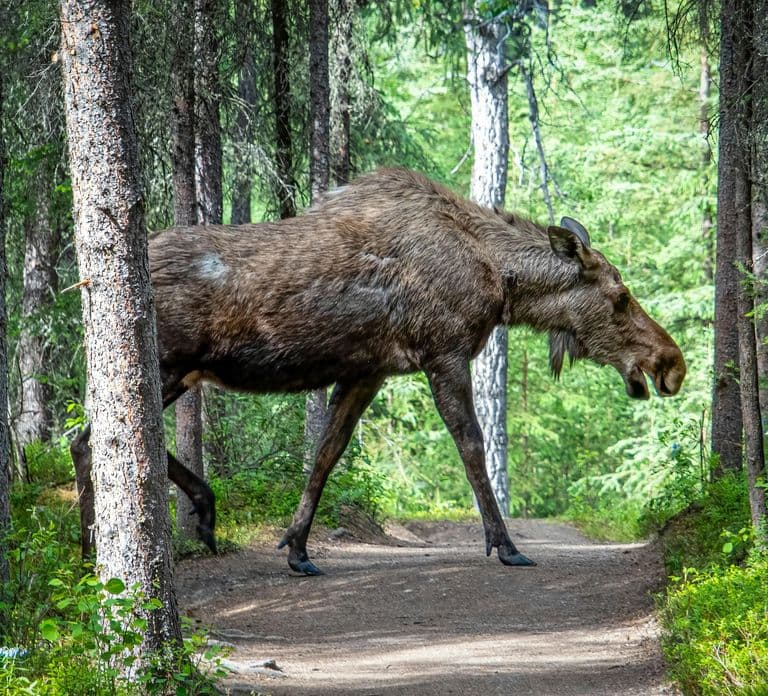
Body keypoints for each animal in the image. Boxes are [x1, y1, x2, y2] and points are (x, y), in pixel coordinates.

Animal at [71, 168, 686, 574]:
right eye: (620, 297)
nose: (672, 364)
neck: (500, 281)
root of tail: (85, 281)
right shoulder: (444, 352)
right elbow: (472, 448)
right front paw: (506, 544)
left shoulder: (369, 372)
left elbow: (325, 455)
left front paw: (298, 548)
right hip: (168, 365)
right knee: (94, 441)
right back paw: (100, 549)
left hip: (179, 372)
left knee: (88, 440)